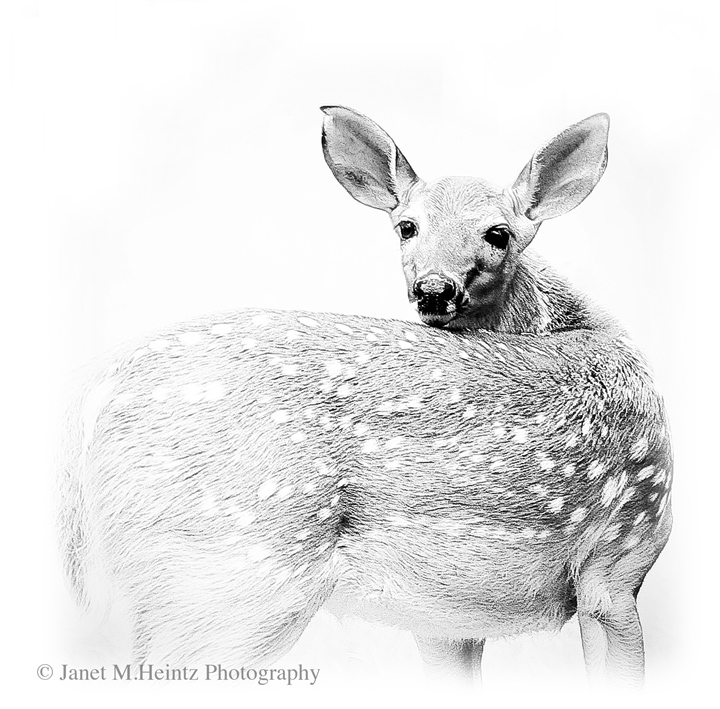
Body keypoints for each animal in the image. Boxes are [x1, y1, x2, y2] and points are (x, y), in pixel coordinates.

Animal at [58, 107, 672, 690]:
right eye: (407, 226)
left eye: (498, 233)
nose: (434, 289)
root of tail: (93, 391)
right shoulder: (619, 558)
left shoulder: (455, 615)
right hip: (230, 577)